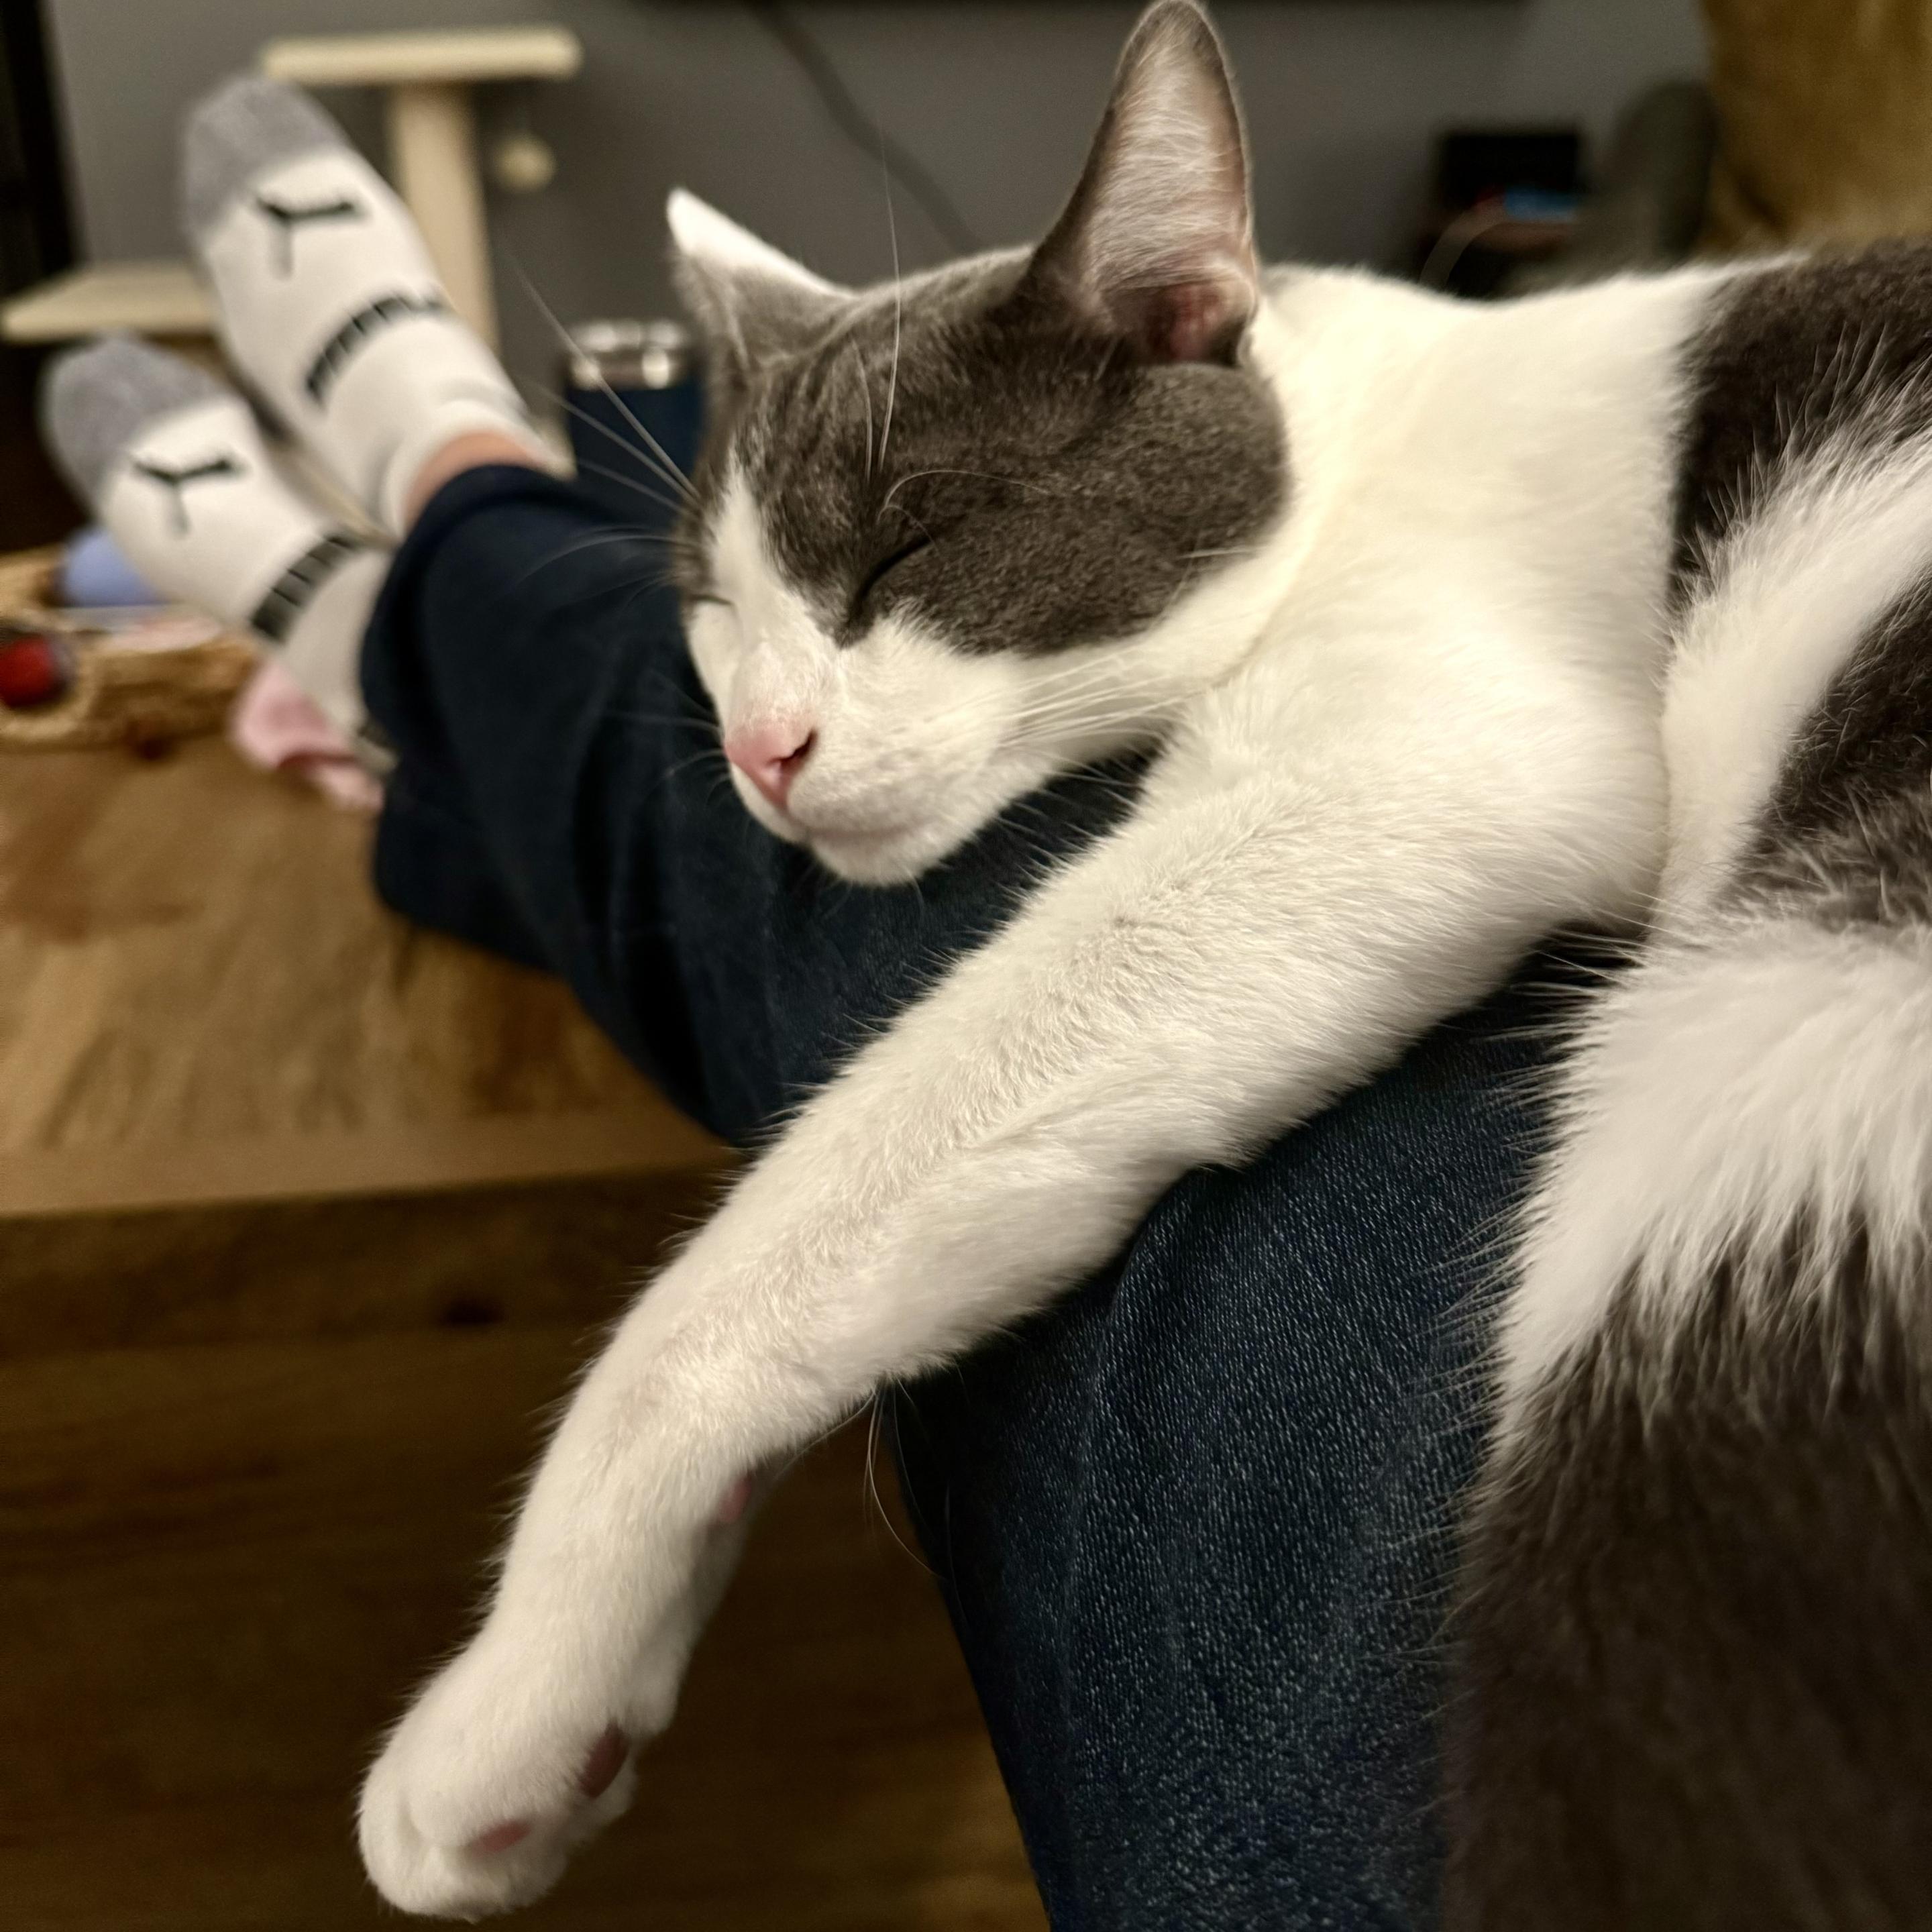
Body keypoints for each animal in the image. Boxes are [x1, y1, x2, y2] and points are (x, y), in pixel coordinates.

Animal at [355, 7, 1932, 1924]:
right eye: (714, 611)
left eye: (906, 548)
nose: (757, 751)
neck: (1347, 425)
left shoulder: (1419, 743)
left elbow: (792, 1223)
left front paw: (509, 1704)